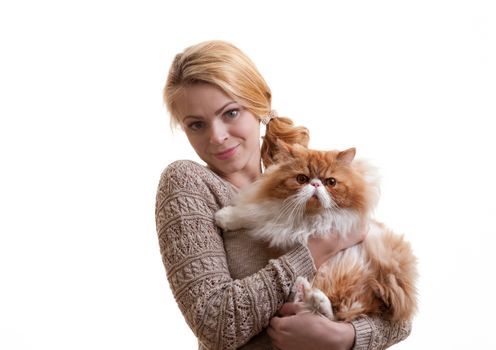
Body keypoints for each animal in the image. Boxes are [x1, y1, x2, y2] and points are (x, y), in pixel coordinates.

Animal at [215, 141, 416, 322]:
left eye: (331, 182)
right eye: (302, 179)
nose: (316, 185)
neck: (309, 216)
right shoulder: (275, 216)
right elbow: (249, 214)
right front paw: (224, 217)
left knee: (338, 315)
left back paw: (314, 296)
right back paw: (303, 288)